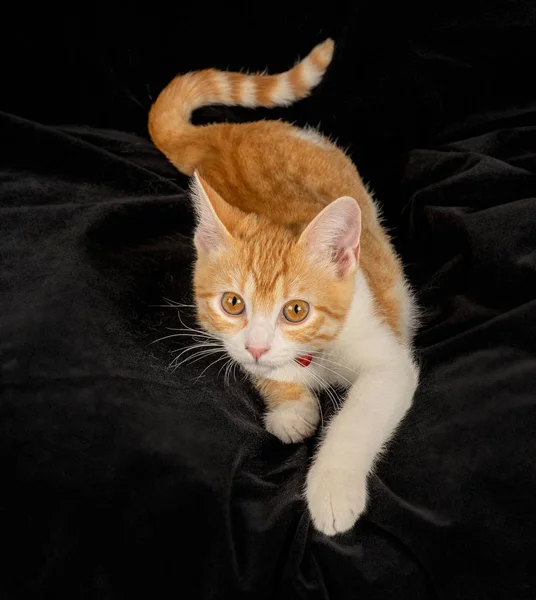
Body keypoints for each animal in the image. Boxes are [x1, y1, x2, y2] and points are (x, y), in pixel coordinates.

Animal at [149, 37, 420, 536]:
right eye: (232, 304)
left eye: (296, 310)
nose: (258, 345)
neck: (316, 352)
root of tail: (222, 135)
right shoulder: (237, 344)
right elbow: (263, 371)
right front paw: (291, 408)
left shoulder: (388, 358)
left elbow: (360, 414)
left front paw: (332, 487)